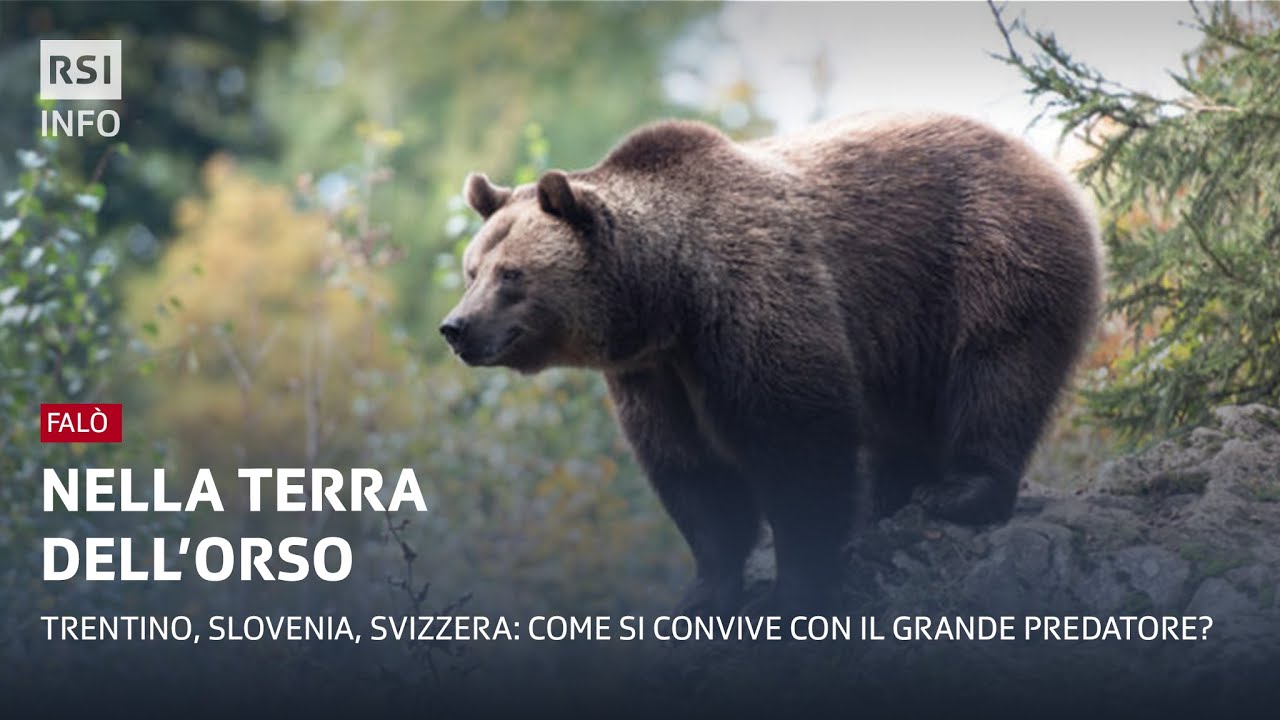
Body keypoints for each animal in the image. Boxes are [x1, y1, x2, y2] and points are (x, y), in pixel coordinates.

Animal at [441, 112, 1102, 615]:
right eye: (472, 270)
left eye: (512, 275)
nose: (456, 327)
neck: (671, 299)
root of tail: (1041, 158)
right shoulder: (655, 376)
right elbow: (693, 476)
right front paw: (705, 591)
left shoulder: (756, 301)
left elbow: (798, 446)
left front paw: (798, 589)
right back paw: (890, 497)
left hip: (987, 254)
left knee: (997, 371)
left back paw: (961, 492)